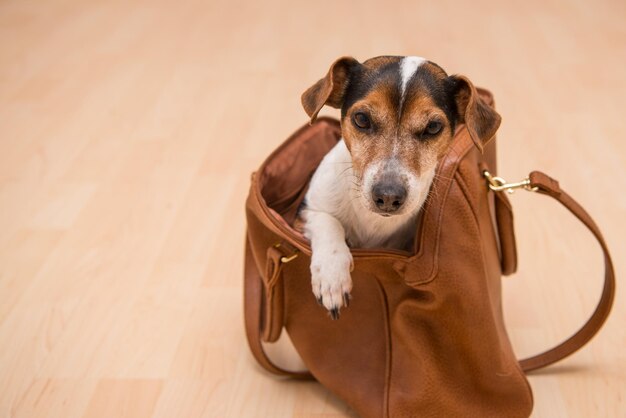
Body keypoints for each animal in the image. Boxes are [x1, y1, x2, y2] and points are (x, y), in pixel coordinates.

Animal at [296, 54, 498, 318]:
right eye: (361, 119)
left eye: (433, 127)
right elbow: (328, 223)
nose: (388, 196)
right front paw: (332, 277)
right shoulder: (307, 210)